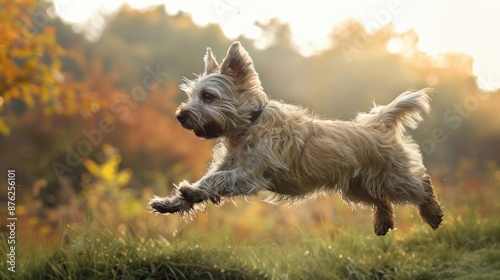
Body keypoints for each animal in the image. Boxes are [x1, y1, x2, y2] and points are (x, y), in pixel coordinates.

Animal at [147, 41, 442, 234]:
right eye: (191, 96)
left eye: (208, 96)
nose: (180, 115)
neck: (248, 126)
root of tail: (379, 123)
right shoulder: (229, 165)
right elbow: (206, 181)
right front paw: (170, 202)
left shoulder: (248, 174)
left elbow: (216, 181)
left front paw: (191, 190)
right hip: (356, 186)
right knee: (382, 199)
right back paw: (383, 222)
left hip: (392, 178)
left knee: (421, 185)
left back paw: (432, 213)